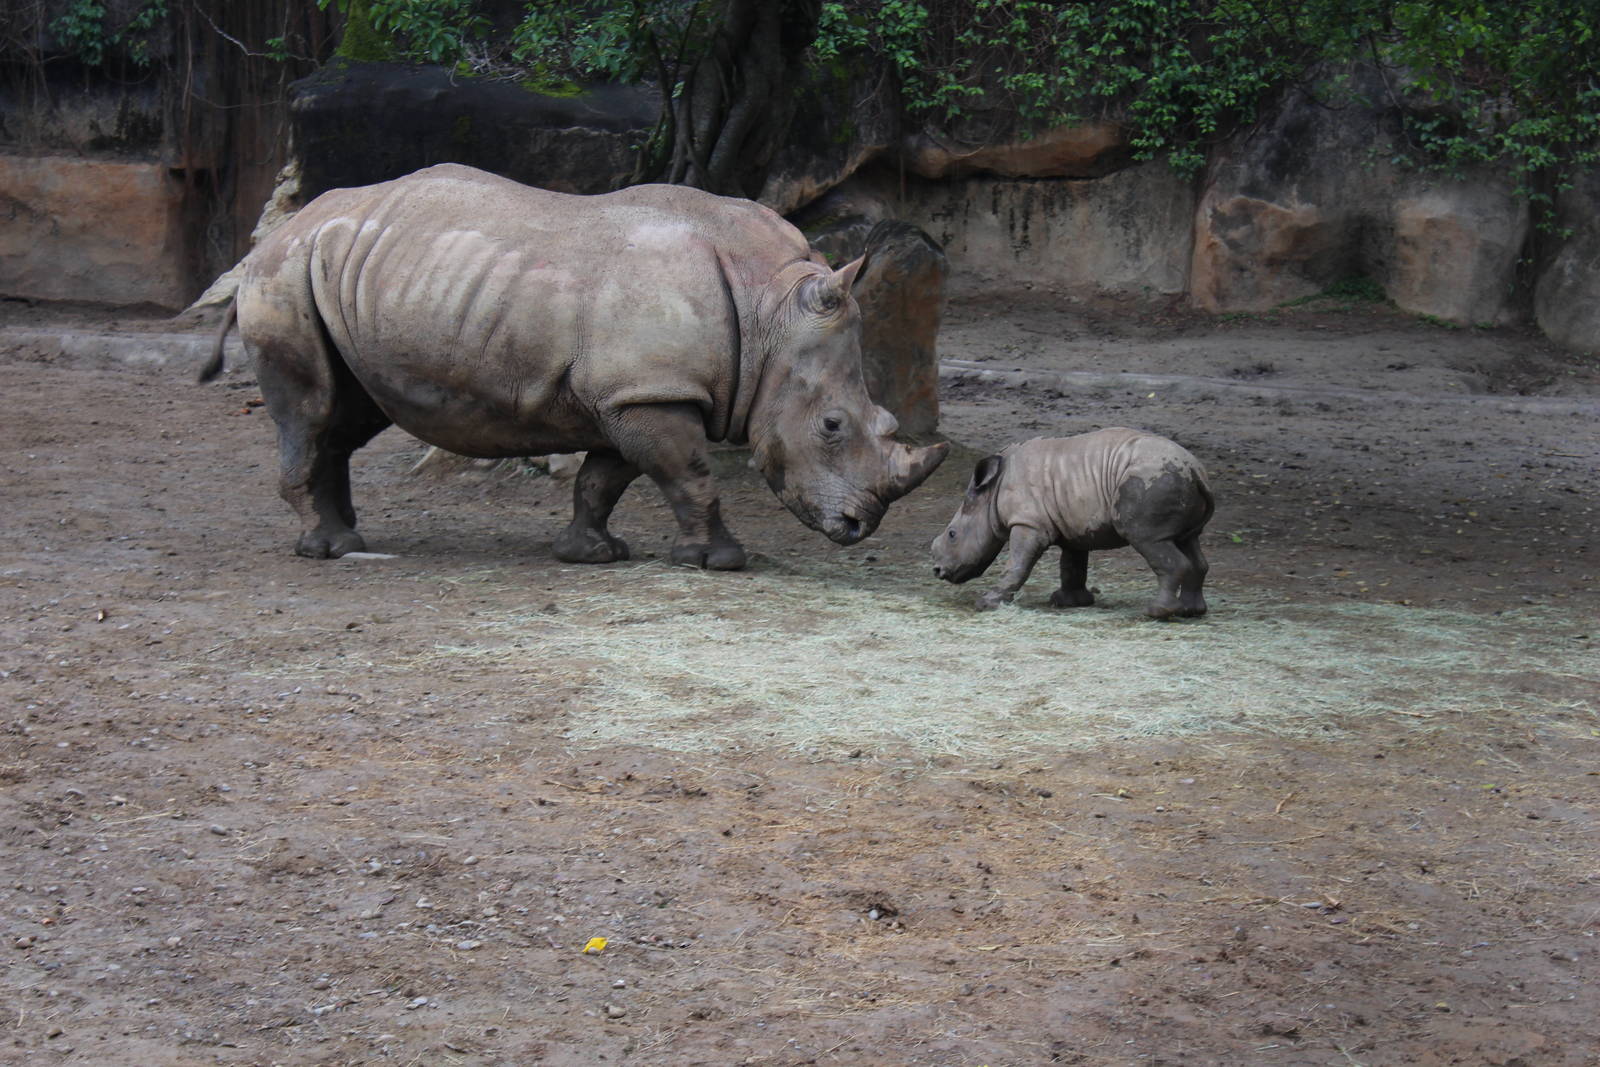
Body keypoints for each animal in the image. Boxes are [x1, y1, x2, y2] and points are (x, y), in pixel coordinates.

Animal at [200, 164, 947, 568]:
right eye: (831, 426)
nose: (859, 527)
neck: (772, 310)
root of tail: (267, 239)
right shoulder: (650, 391)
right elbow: (691, 474)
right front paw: (721, 562)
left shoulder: (627, 392)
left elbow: (604, 479)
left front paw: (591, 554)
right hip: (284, 275)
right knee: (312, 409)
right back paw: (328, 548)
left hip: (340, 275)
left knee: (350, 414)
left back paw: (348, 538)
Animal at [930, 428, 1213, 618]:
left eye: (952, 534)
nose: (937, 571)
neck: (989, 495)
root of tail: (1197, 470)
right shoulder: (1074, 524)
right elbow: (1072, 565)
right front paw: (1069, 602)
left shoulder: (1028, 523)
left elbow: (1017, 563)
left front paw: (987, 603)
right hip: (1174, 479)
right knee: (1188, 541)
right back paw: (1191, 611)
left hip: (1151, 481)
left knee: (1148, 539)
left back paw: (1156, 612)